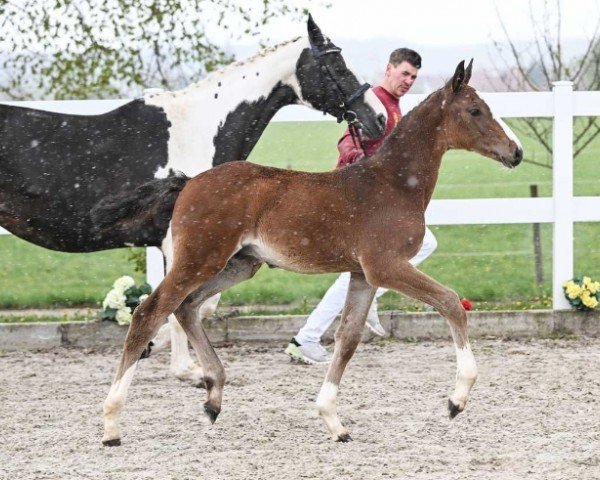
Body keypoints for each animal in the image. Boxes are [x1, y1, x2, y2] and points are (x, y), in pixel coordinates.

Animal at [0, 15, 384, 382]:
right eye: (337, 64)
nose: (378, 117)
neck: (199, 129)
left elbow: (191, 306)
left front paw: (153, 348)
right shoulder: (183, 244)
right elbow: (176, 305)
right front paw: (186, 369)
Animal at [103, 61, 524, 446]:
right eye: (475, 110)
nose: (516, 152)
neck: (392, 183)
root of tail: (189, 182)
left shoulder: (362, 275)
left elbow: (348, 338)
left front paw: (332, 421)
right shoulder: (386, 266)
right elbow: (450, 302)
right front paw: (456, 401)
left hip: (239, 265)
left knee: (187, 307)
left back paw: (213, 398)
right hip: (199, 259)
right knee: (149, 312)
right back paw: (111, 424)